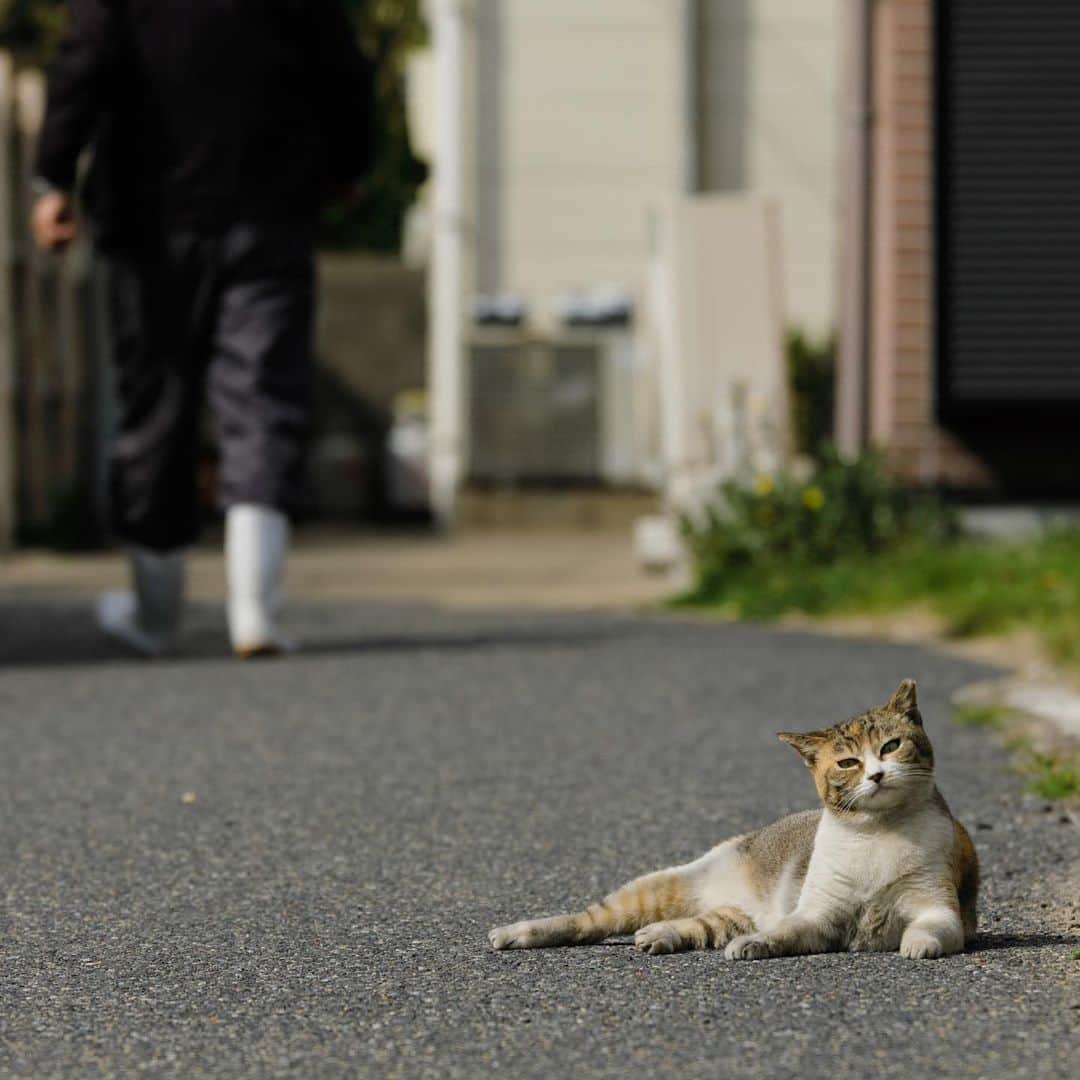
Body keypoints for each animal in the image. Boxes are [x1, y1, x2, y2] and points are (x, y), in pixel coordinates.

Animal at [490, 678, 980, 959]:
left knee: (698, 926)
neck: (877, 831)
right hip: (655, 888)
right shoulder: (816, 915)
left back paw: (660, 936)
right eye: (848, 763)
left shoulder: (938, 907)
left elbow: (931, 929)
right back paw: (516, 933)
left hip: (721, 918)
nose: (877, 774)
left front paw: (916, 944)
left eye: (890, 747)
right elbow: (783, 933)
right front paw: (755, 946)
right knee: (586, 923)